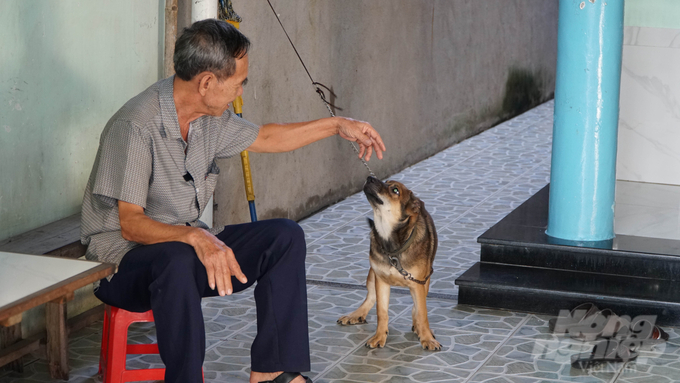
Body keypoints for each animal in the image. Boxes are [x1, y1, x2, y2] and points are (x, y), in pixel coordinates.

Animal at [336, 177, 440, 352]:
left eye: (395, 190)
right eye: (386, 181)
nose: (369, 178)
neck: (392, 245)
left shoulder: (419, 282)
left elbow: (421, 312)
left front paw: (426, 337)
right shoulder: (381, 280)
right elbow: (381, 311)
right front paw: (379, 336)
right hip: (372, 273)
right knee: (370, 296)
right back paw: (355, 314)